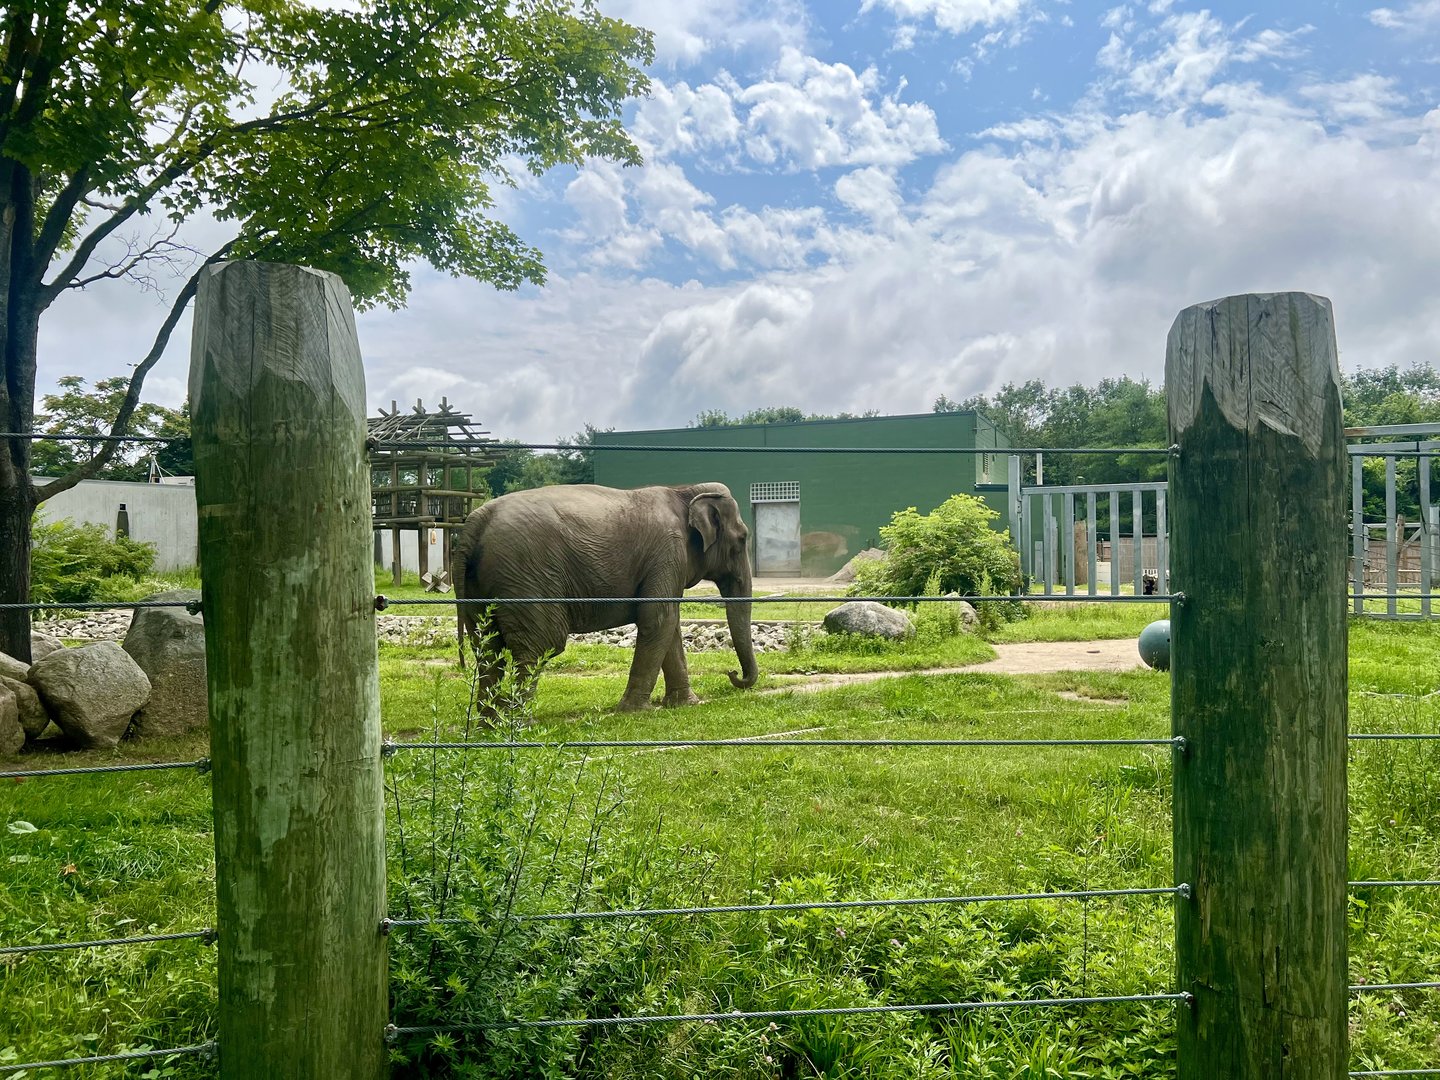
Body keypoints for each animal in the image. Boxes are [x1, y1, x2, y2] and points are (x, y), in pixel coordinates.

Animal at [451, 482, 758, 712]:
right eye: (743, 538)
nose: (732, 673)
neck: (683, 491)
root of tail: (473, 525)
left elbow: (669, 624)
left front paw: (685, 704)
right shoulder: (667, 551)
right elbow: (658, 618)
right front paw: (634, 711)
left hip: (481, 586)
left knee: (488, 649)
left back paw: (489, 725)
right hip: (526, 576)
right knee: (538, 646)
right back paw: (518, 724)